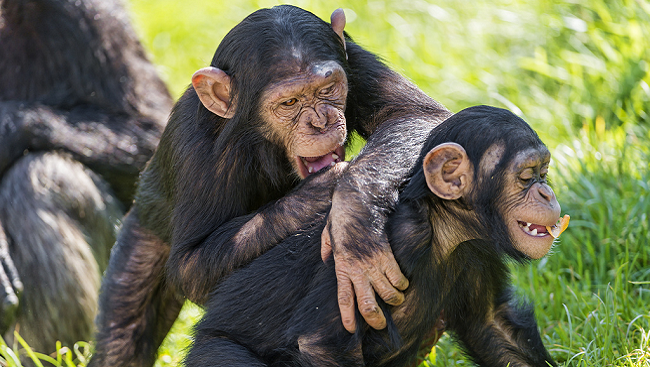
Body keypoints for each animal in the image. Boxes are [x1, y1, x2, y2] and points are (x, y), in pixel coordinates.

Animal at [90, 5, 450, 367]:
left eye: (328, 88)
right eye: (290, 103)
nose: (320, 122)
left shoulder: (356, 60)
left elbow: (415, 114)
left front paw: (354, 224)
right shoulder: (194, 147)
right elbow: (189, 265)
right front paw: (329, 190)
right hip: (144, 231)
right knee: (126, 324)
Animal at [186, 105, 560, 367]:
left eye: (543, 173)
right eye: (526, 176)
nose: (546, 193)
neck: (443, 229)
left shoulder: (479, 252)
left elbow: (493, 328)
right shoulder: (389, 242)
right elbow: (321, 345)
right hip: (214, 350)